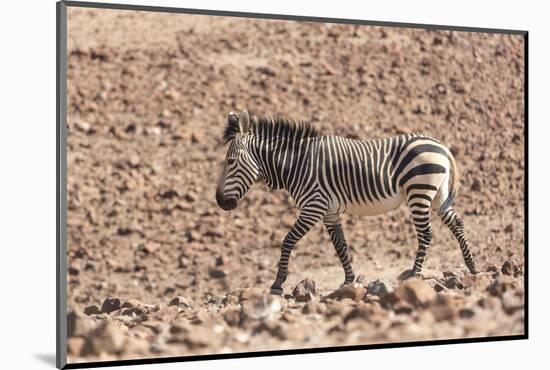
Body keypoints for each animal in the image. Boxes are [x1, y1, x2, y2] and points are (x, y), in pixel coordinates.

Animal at [216, 109, 478, 294]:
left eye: (230, 162)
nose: (219, 201)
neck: (297, 164)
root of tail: (441, 145)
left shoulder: (313, 206)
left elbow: (287, 241)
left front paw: (277, 284)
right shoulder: (329, 212)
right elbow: (340, 246)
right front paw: (349, 281)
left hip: (419, 191)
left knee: (426, 234)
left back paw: (414, 274)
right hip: (438, 195)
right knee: (457, 224)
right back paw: (473, 267)